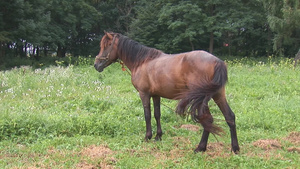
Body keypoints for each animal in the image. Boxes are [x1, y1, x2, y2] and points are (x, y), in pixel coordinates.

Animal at [94, 31, 239, 153]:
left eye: (107, 45)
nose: (96, 65)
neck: (142, 61)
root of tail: (217, 61)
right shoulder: (156, 95)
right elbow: (157, 114)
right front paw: (158, 136)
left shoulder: (144, 94)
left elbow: (147, 115)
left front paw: (147, 137)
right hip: (218, 95)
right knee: (229, 117)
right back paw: (235, 149)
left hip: (202, 99)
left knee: (208, 119)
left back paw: (200, 148)